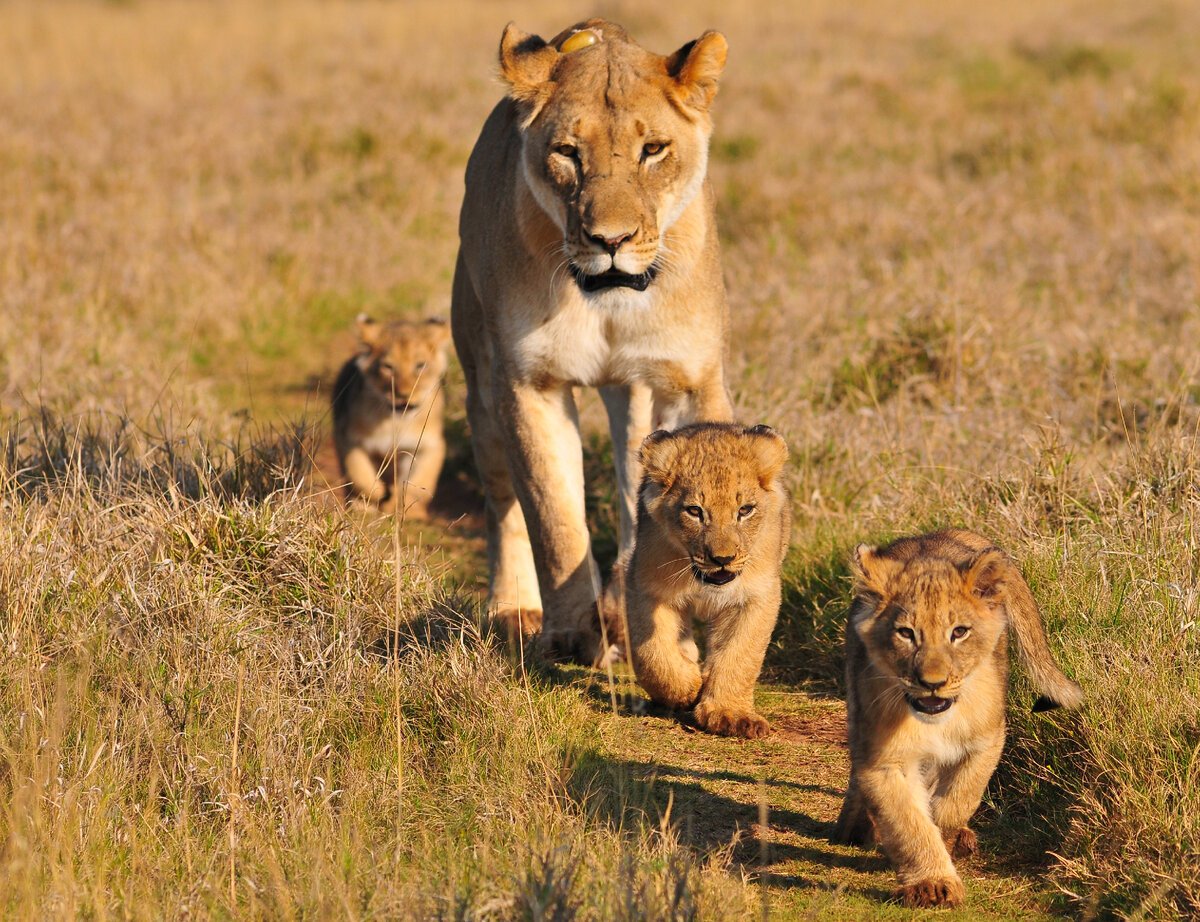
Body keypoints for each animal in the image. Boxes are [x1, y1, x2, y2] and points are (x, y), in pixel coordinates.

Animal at [451, 19, 729, 662]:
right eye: (567, 153)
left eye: (653, 150)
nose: (611, 240)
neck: (609, 301)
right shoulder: (527, 383)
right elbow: (553, 516)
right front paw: (572, 633)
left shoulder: (689, 380)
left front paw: (668, 637)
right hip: (480, 385)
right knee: (502, 501)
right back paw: (515, 608)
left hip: (634, 392)